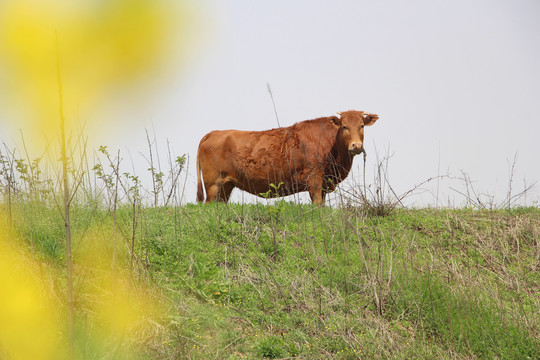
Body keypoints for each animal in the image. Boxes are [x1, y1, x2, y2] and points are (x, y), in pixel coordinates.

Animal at [196, 109, 378, 204]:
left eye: (362, 125)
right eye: (344, 126)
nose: (356, 146)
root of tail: (214, 132)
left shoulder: (325, 183)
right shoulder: (314, 178)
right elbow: (317, 203)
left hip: (225, 186)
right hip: (213, 185)